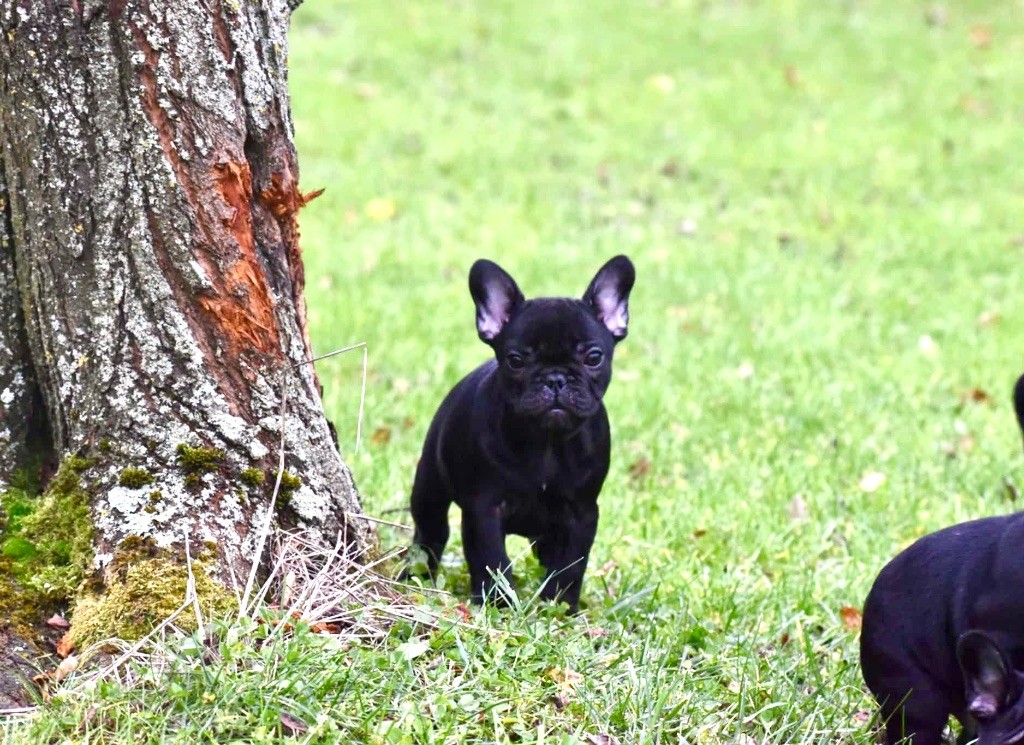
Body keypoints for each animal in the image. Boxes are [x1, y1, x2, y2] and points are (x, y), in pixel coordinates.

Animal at [405, 255, 630, 609]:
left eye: (593, 357)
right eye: (515, 360)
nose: (555, 378)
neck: (547, 443)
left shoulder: (582, 512)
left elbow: (571, 563)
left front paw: (560, 606)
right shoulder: (484, 509)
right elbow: (491, 557)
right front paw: (498, 603)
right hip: (429, 488)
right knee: (430, 531)